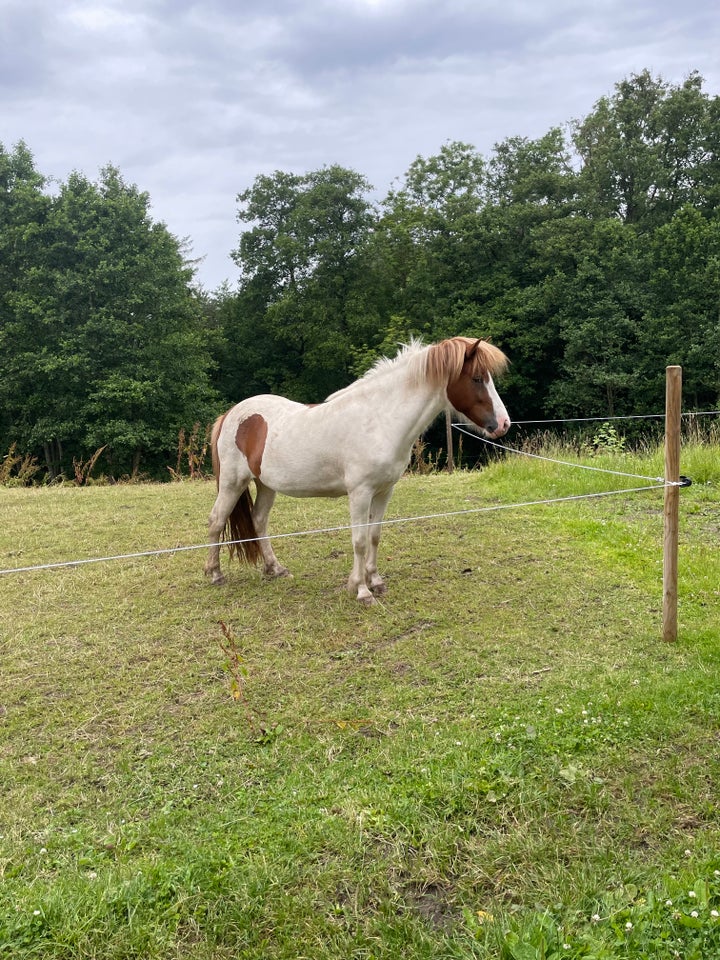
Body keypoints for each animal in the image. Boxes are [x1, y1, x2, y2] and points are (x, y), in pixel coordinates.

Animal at [204, 338, 512, 604]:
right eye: (477, 378)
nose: (503, 424)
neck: (379, 420)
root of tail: (230, 414)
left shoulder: (385, 491)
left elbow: (374, 535)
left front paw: (375, 581)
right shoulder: (360, 493)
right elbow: (360, 540)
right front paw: (362, 591)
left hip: (265, 484)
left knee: (259, 520)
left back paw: (275, 568)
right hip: (233, 482)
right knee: (217, 520)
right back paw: (215, 574)